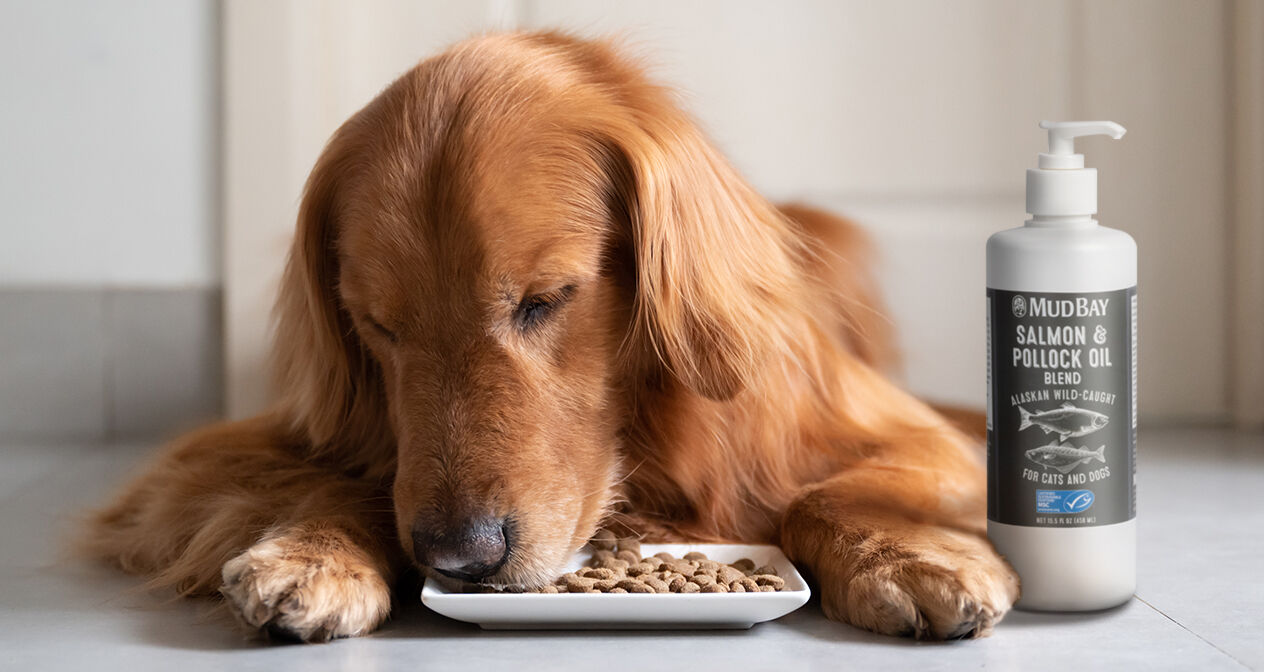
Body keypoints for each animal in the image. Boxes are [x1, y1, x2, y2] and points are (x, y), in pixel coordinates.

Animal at [86, 31, 1016, 641]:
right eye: (378, 325)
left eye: (545, 300)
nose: (458, 555)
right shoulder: (199, 463)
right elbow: (337, 483)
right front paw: (314, 556)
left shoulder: (917, 438)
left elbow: (820, 494)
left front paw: (904, 556)